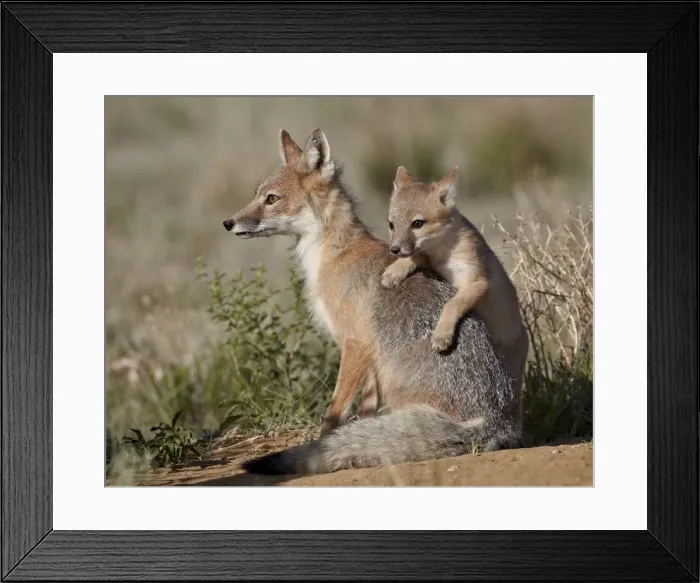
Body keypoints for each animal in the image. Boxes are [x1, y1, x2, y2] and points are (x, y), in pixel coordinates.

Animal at [381, 165, 529, 430]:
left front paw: (442, 334)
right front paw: (396, 270)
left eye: (417, 223)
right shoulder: (433, 264)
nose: (394, 249)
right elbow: (417, 257)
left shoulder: (478, 282)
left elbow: (453, 303)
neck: (444, 253)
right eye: (391, 224)